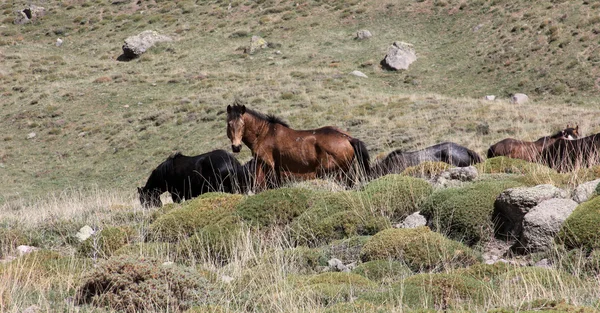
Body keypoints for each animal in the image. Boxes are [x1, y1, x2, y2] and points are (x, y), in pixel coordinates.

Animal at [226, 103, 370, 189]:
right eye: (229, 124)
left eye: (242, 124)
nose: (236, 147)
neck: (264, 133)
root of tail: (348, 138)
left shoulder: (266, 164)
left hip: (334, 173)